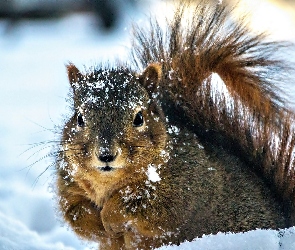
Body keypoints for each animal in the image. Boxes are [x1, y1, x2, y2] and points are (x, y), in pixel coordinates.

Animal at [54, 0, 295, 249]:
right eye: (79, 118)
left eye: (139, 117)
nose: (105, 154)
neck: (107, 182)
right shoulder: (69, 186)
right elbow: (75, 214)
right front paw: (100, 226)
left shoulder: (182, 188)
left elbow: (143, 206)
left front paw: (109, 218)